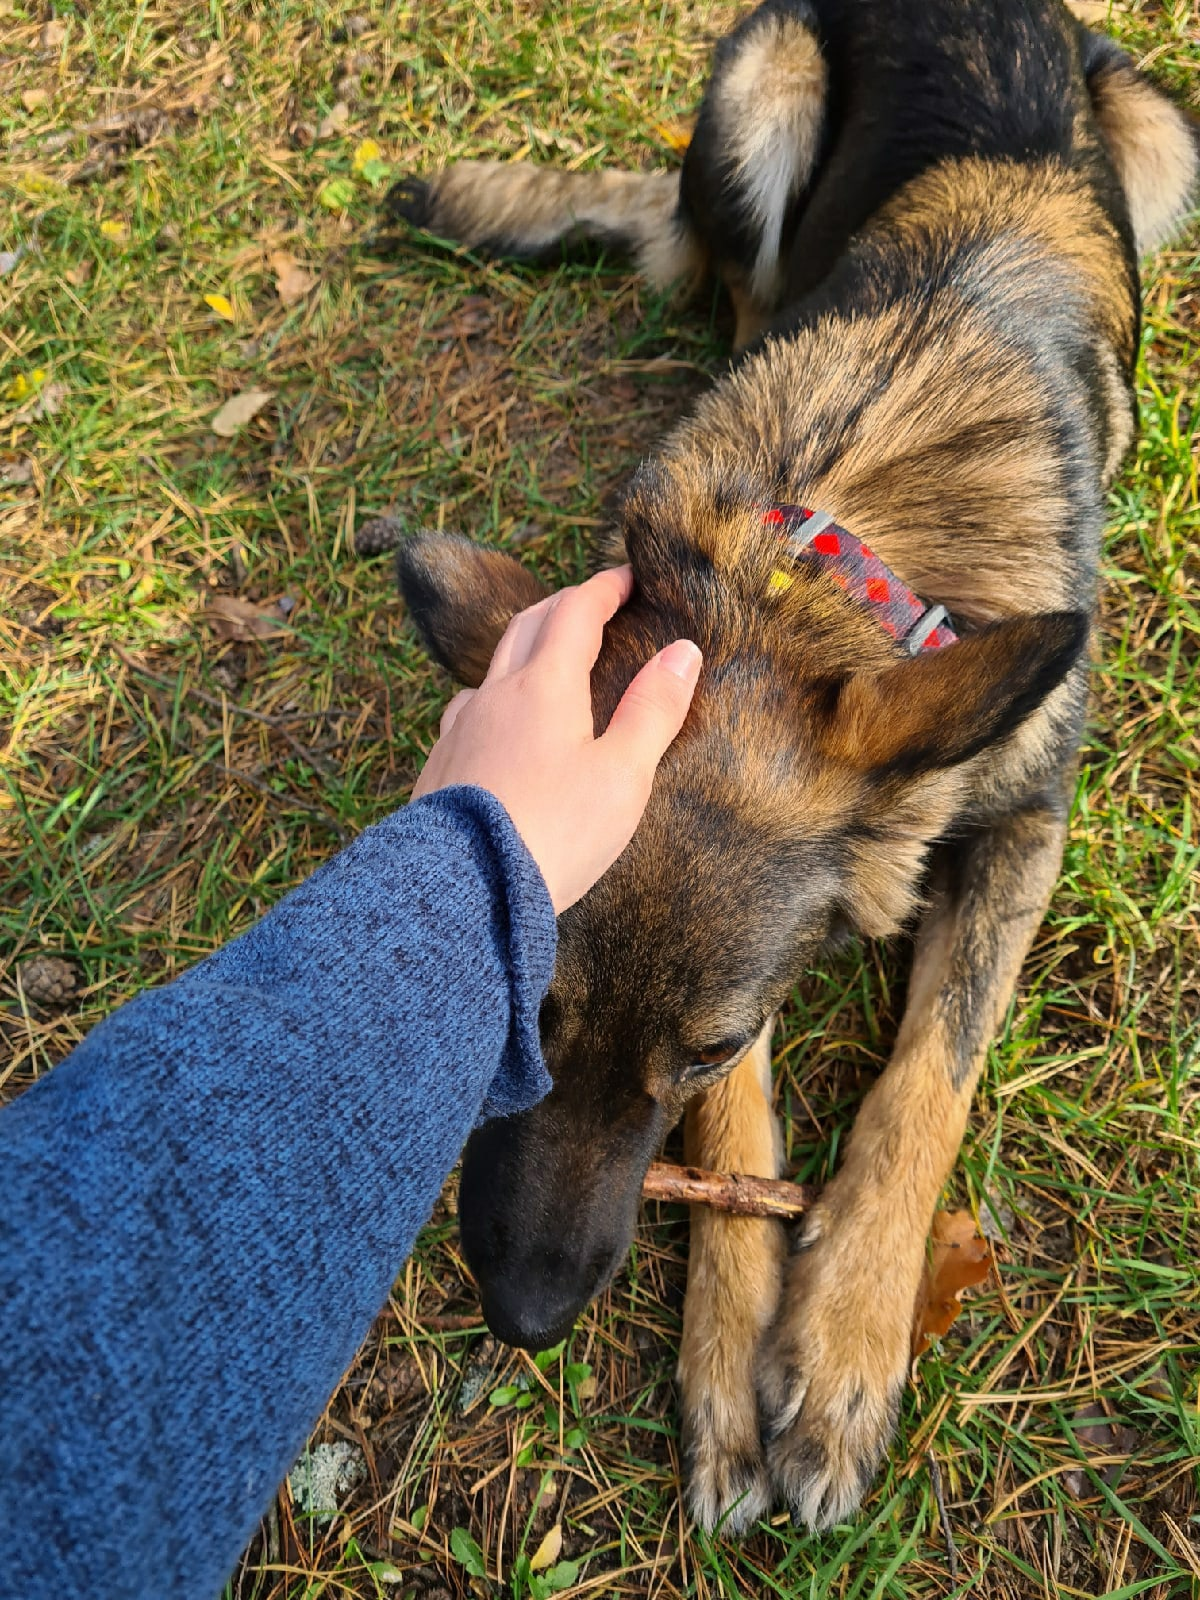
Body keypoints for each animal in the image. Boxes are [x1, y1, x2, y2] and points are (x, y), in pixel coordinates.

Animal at [382, 0, 1196, 1529]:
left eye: (699, 1041)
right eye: (528, 1011)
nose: (522, 1317)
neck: (806, 562)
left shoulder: (1026, 824)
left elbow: (928, 1076)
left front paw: (842, 1353)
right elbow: (742, 1134)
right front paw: (725, 1365)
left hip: (1165, 142)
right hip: (763, 92)